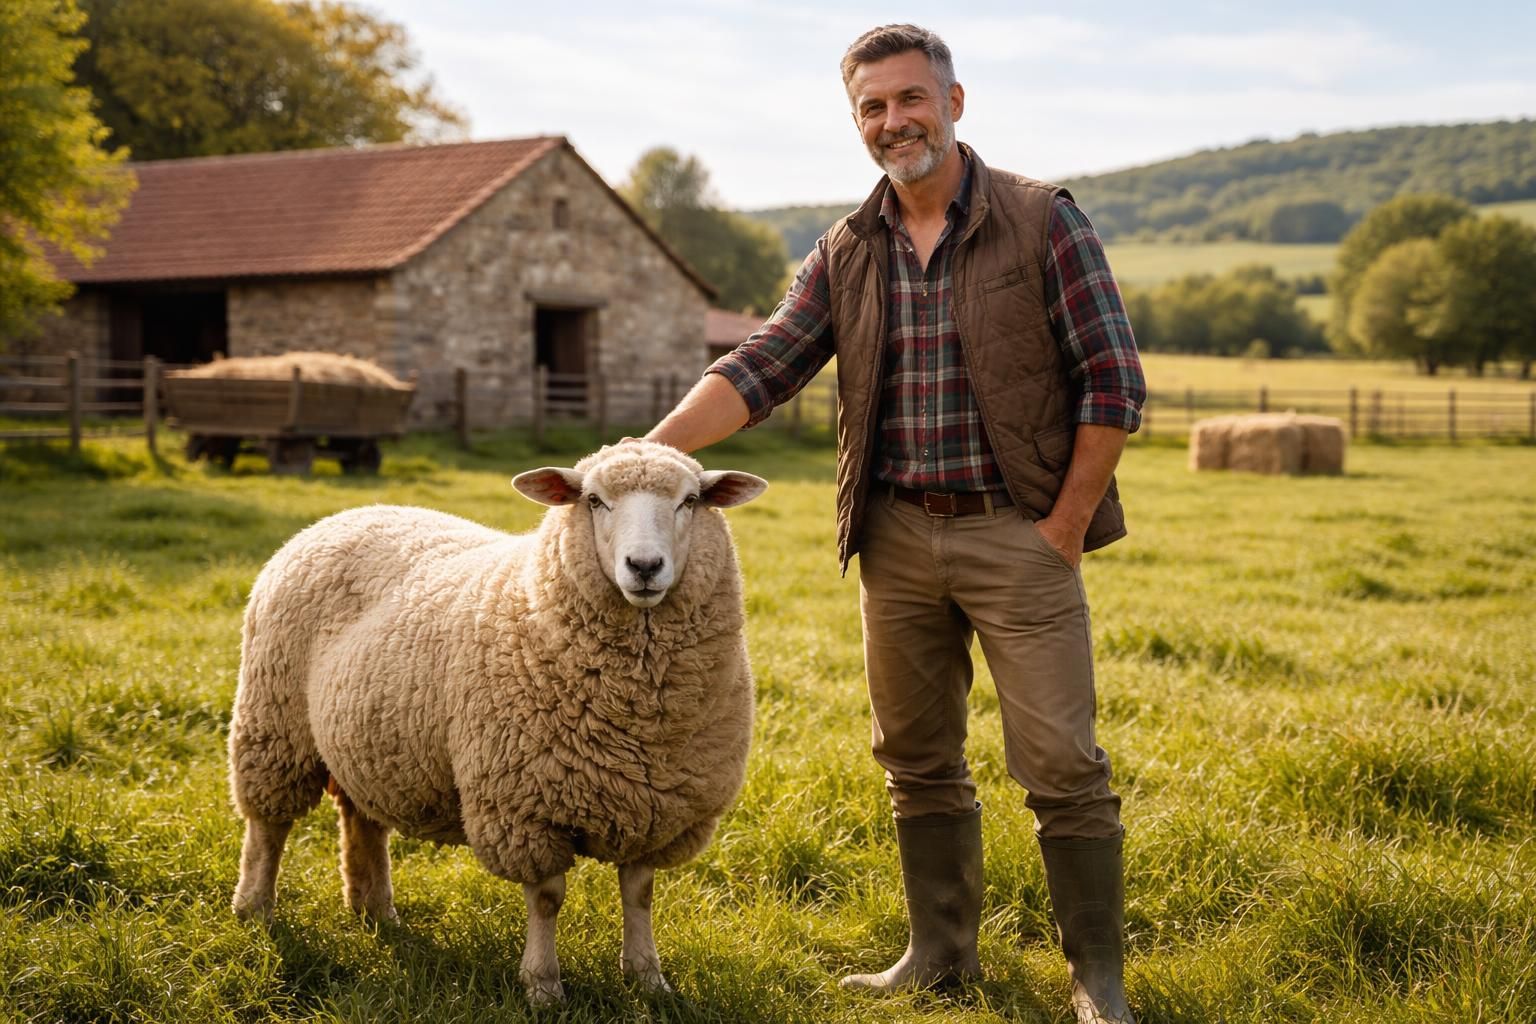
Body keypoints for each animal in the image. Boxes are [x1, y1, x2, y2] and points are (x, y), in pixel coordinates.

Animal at [227, 441, 766, 1004]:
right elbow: (547, 899)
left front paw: (647, 979)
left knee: (361, 819)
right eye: (594, 500)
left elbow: (639, 893)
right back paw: (256, 908)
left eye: (690, 501)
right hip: (273, 721)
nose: (644, 566)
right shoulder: (525, 806)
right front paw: (543, 986)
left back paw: (375, 911)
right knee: (268, 825)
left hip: (371, 740)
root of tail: (347, 515)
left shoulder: (654, 808)